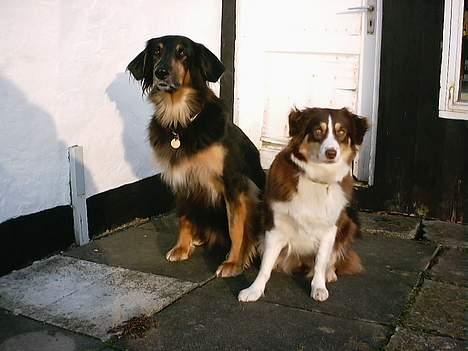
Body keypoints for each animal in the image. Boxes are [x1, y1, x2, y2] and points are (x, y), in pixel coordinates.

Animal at [128, 35, 266, 278]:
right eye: (156, 52)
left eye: (183, 53)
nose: (160, 72)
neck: (180, 121)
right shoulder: (181, 178)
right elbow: (184, 217)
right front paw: (182, 248)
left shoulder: (234, 183)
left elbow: (236, 227)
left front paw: (233, 262)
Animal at [239, 107, 368, 302]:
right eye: (318, 131)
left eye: (342, 132)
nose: (331, 153)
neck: (317, 178)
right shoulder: (276, 226)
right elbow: (265, 266)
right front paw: (254, 290)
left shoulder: (330, 229)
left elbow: (321, 261)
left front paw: (319, 287)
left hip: (348, 224)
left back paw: (330, 273)